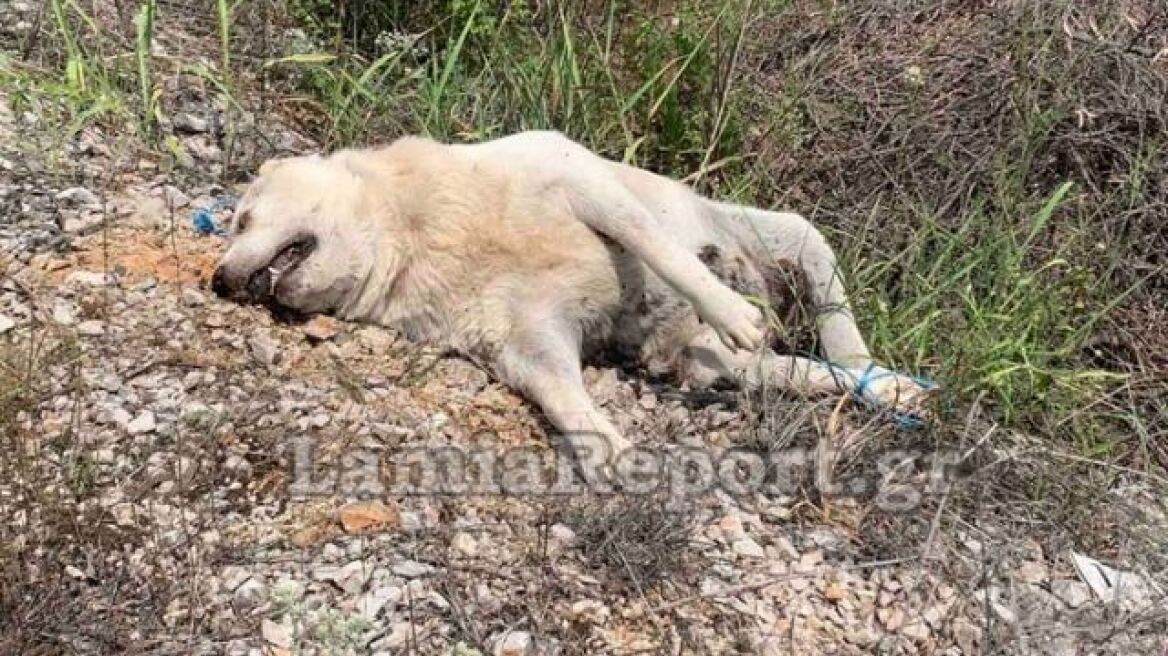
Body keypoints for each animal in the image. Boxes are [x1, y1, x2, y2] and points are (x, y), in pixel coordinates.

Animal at [214, 130, 934, 462]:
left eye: (242, 219)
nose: (219, 280)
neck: (415, 235)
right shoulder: (526, 342)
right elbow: (564, 397)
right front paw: (610, 453)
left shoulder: (583, 183)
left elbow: (663, 252)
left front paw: (730, 309)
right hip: (715, 364)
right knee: (809, 374)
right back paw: (890, 390)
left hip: (773, 232)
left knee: (821, 282)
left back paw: (864, 364)